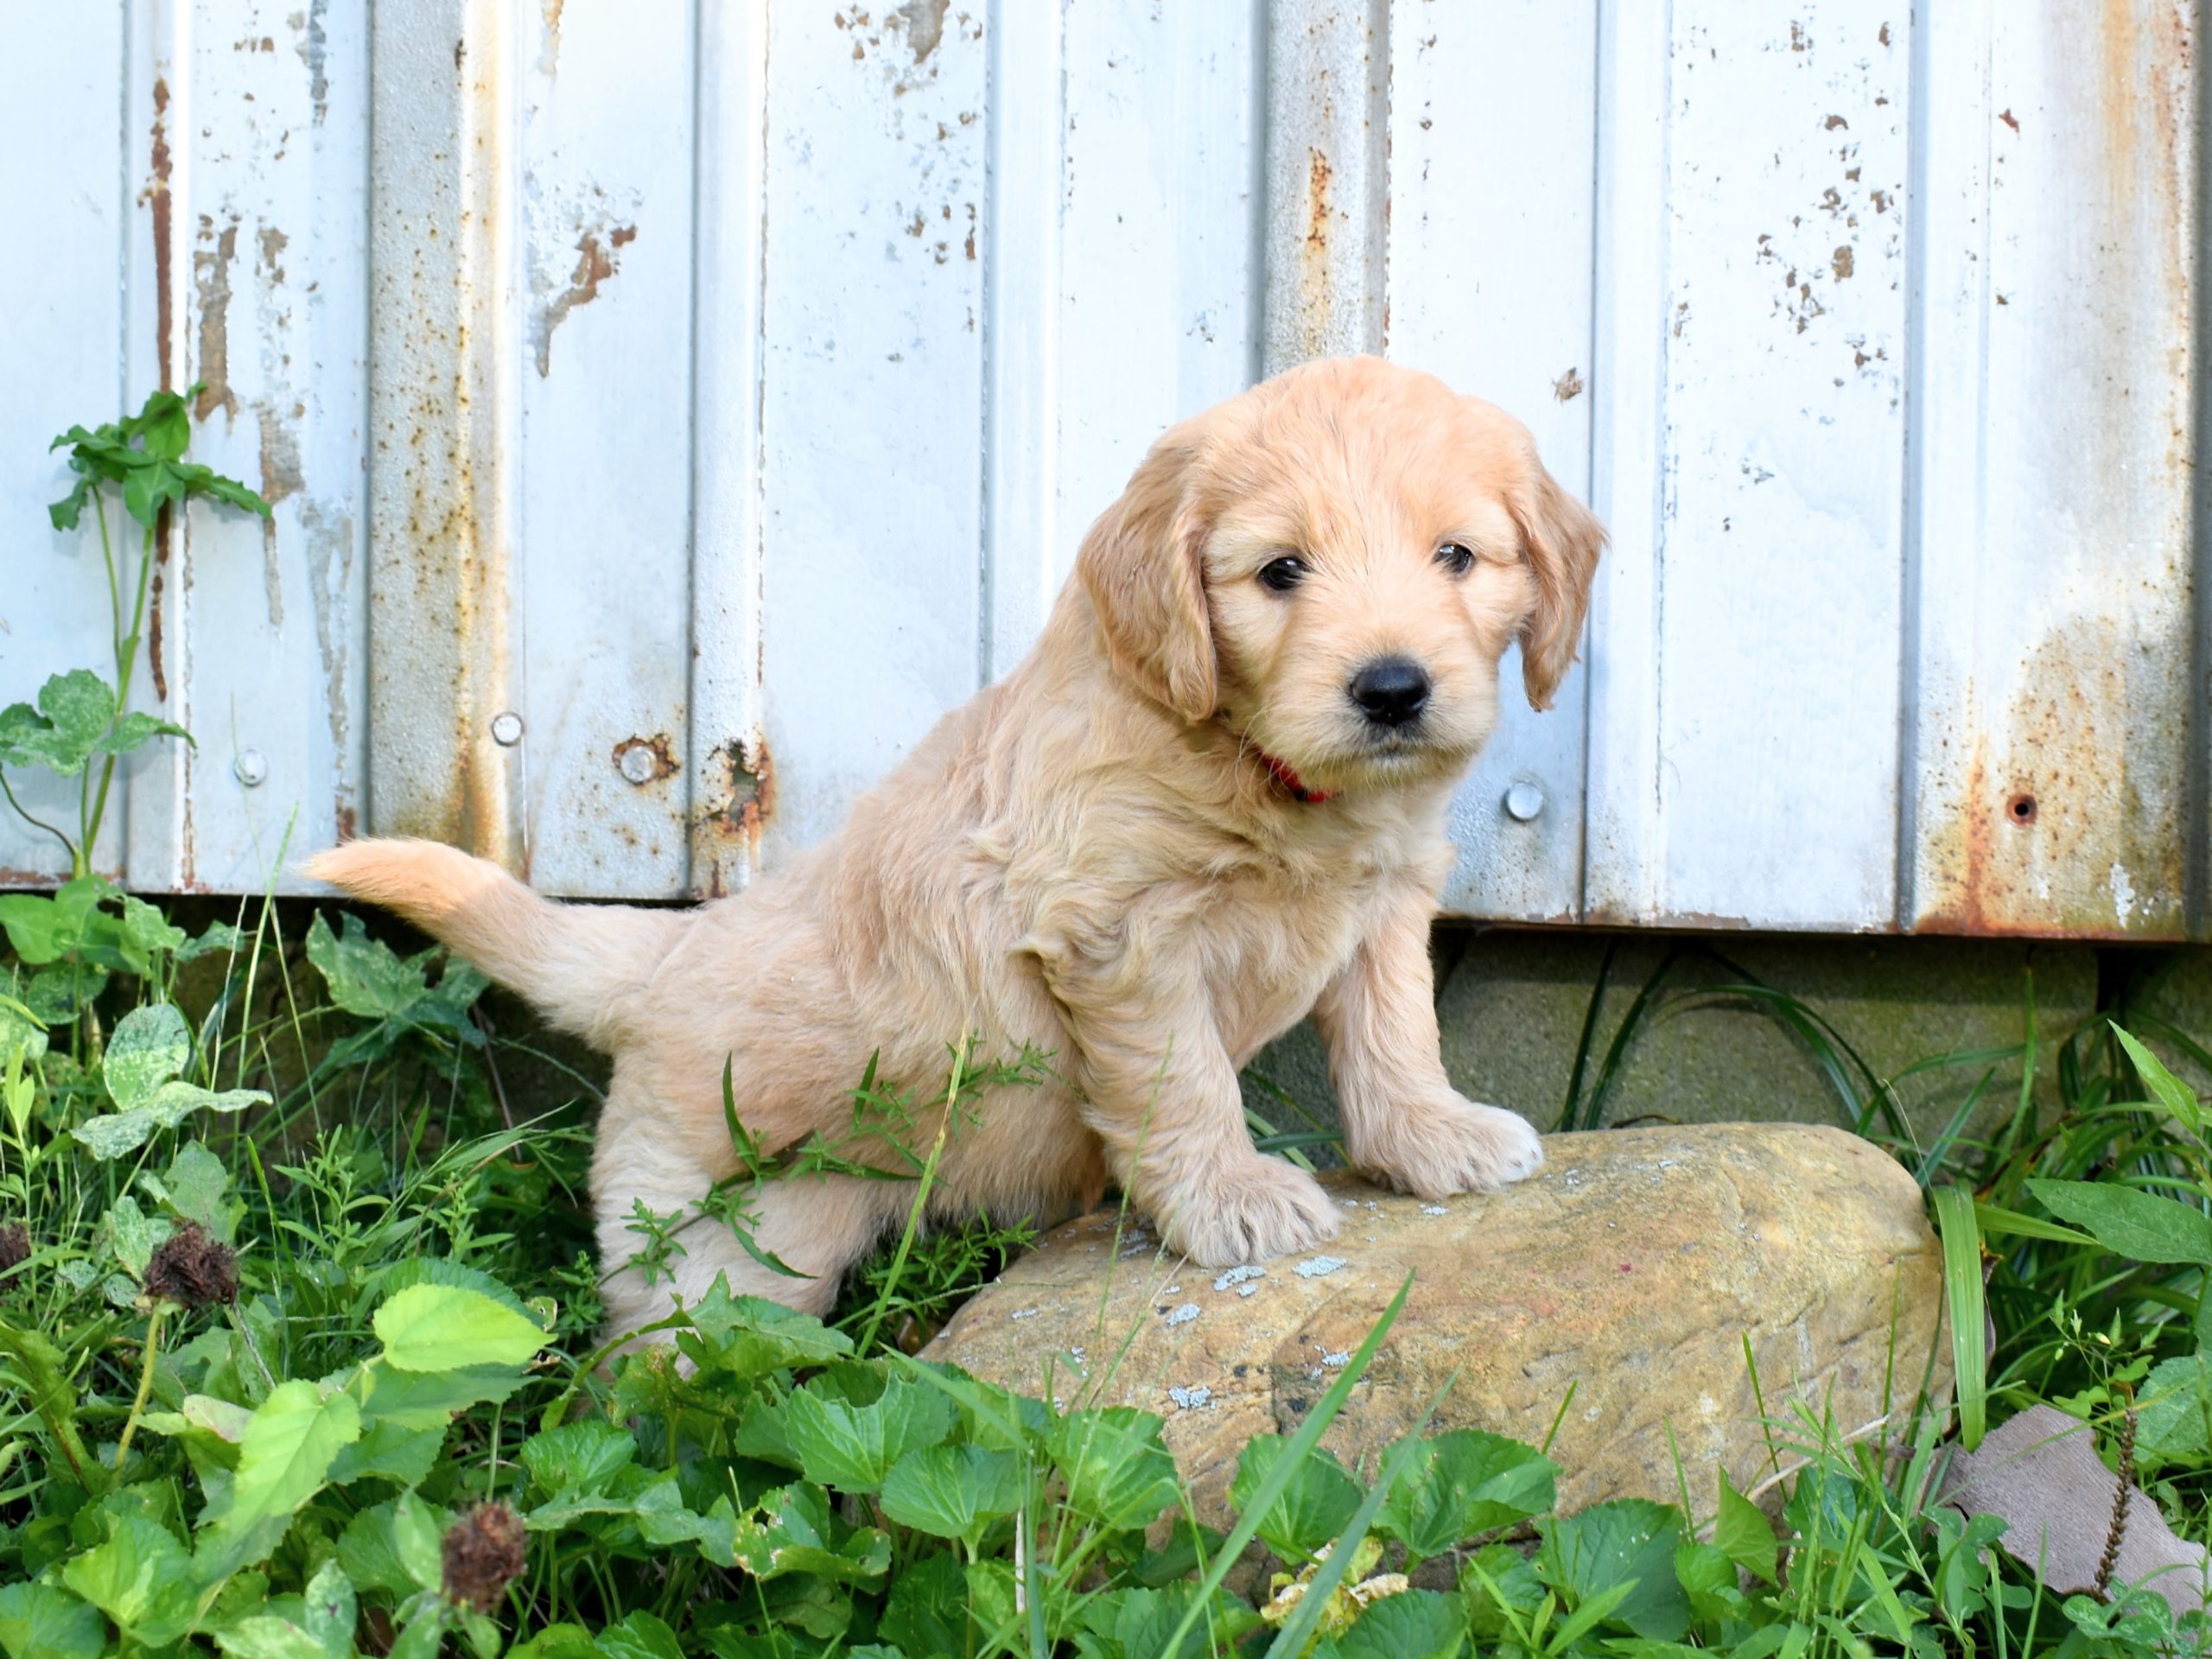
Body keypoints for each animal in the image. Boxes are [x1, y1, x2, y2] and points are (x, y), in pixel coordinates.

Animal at [302, 353, 1601, 1336]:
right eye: (1280, 571)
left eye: (1456, 557)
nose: (1392, 689)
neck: (1266, 771)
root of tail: (664, 956)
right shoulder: (1121, 934)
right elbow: (1182, 1079)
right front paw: (1231, 1199)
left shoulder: (1381, 906)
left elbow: (1393, 1034)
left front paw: (1431, 1137)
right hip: (691, 1245)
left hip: (786, 1233)